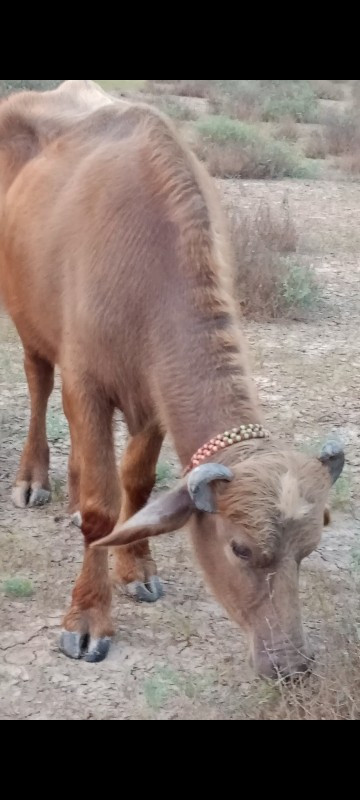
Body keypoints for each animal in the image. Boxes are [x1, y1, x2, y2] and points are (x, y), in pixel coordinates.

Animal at [0, 83, 344, 676]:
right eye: (239, 548)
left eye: (308, 550)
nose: (290, 664)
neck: (147, 279)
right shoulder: (87, 385)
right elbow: (103, 508)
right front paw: (88, 617)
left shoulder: (154, 396)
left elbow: (135, 484)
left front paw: (135, 567)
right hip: (27, 320)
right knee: (39, 382)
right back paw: (35, 480)